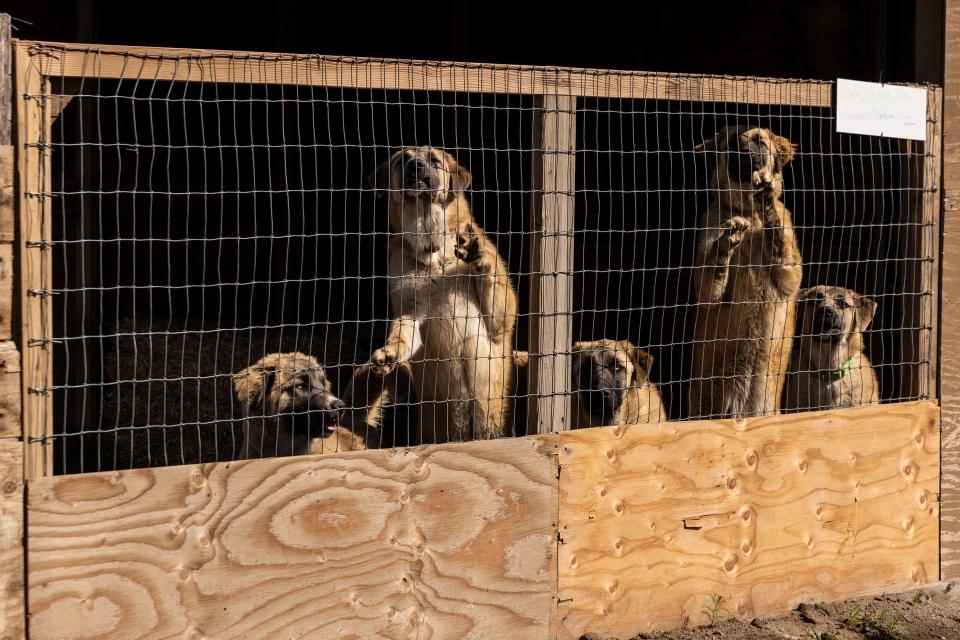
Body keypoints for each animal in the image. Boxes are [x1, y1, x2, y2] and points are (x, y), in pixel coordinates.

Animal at [368, 147, 516, 442]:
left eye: (434, 160)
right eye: (402, 160)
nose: (416, 166)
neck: (433, 251)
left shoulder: (499, 322)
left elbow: (491, 276)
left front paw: (478, 256)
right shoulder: (409, 311)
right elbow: (402, 334)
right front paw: (390, 352)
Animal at [688, 126, 804, 420]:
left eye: (759, 141)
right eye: (731, 142)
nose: (743, 152)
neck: (750, 216)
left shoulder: (790, 274)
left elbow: (777, 234)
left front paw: (767, 201)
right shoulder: (706, 286)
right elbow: (714, 273)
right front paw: (726, 242)